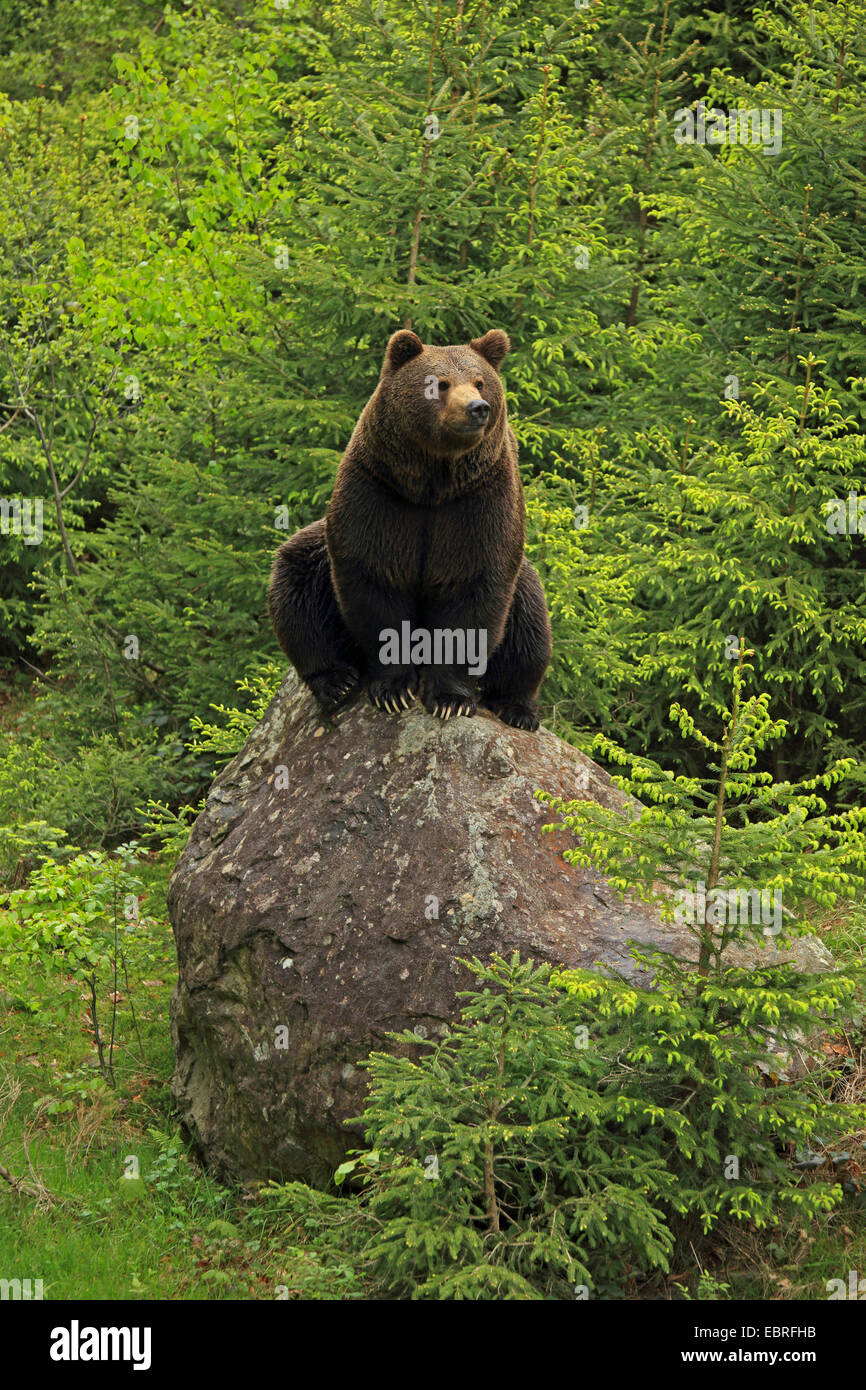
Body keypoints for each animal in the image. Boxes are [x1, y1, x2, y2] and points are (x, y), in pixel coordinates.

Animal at [267, 328, 552, 731]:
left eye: (480, 381)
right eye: (440, 383)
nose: (477, 407)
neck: (432, 481)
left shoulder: (479, 502)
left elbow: (472, 591)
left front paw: (450, 699)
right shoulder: (380, 494)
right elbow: (375, 580)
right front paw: (393, 689)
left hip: (523, 581)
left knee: (530, 626)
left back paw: (517, 708)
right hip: (317, 553)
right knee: (297, 580)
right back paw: (336, 681)